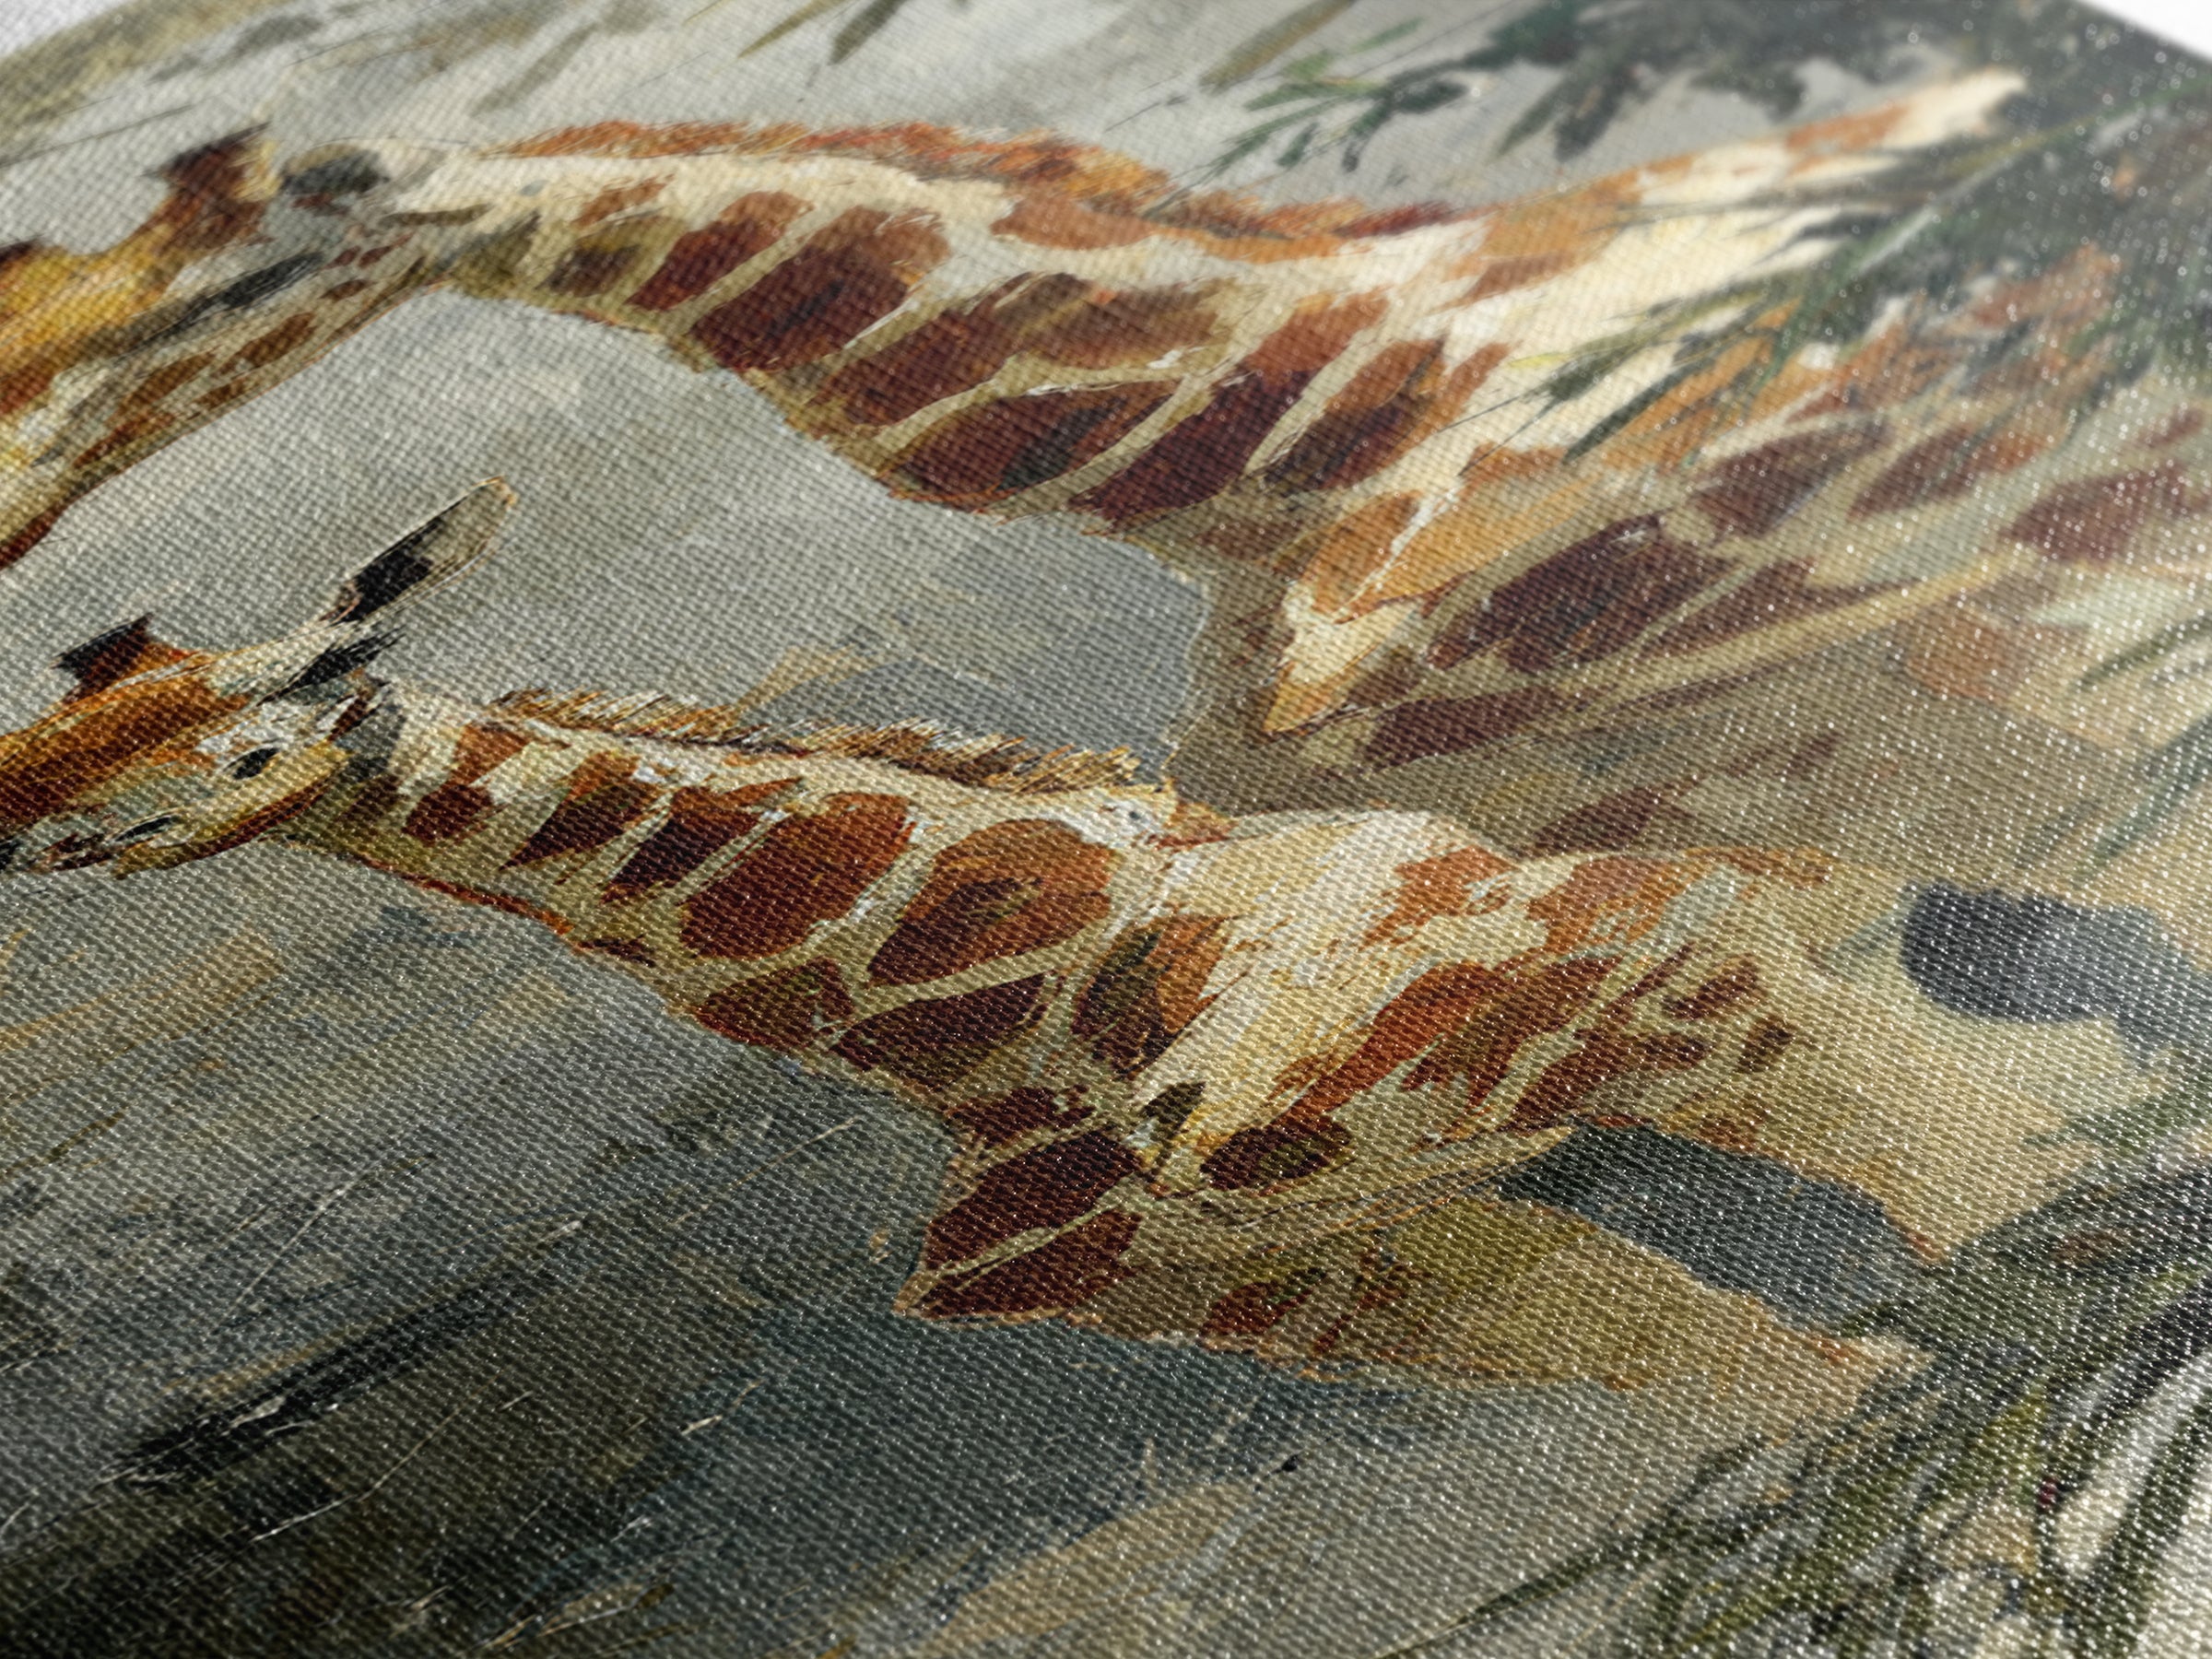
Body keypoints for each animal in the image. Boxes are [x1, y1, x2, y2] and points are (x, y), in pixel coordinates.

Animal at [0, 481, 2157, 1436]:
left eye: (285, 704)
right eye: (46, 751)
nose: (74, 839)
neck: (1074, 987)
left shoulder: (1688, 991)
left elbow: (1990, 1202)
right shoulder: (1269, 1275)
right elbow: (1808, 1369)